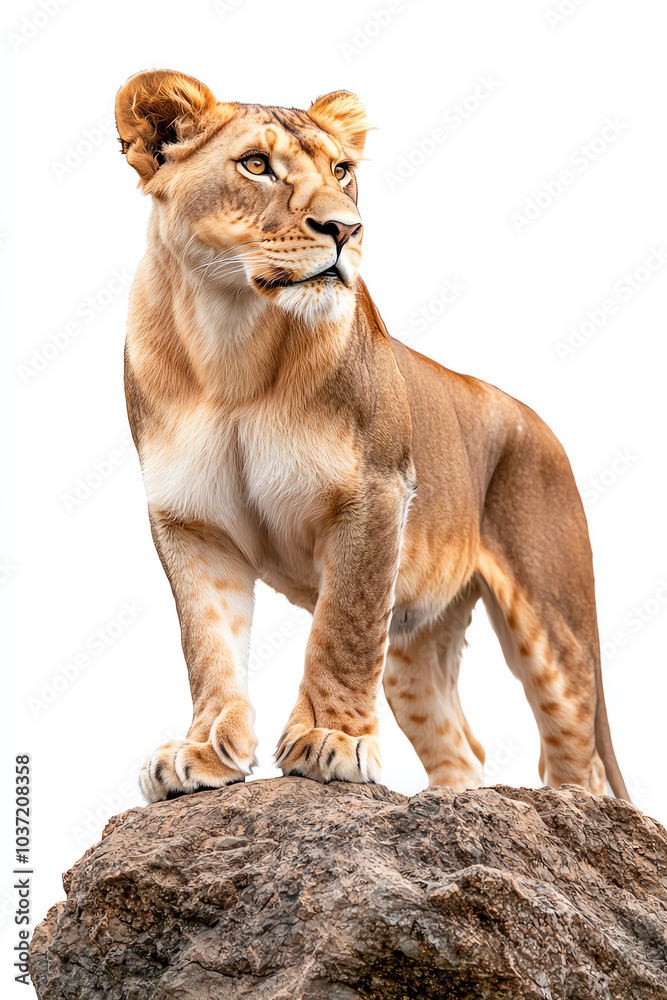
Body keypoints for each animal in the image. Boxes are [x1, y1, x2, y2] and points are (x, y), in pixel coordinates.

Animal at [115, 69, 628, 804]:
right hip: (416, 638)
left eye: (342, 171)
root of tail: (537, 421)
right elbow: (207, 642)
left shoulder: (374, 495)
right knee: (461, 747)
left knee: (576, 756)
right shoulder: (190, 519)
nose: (345, 228)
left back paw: (564, 812)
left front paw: (330, 740)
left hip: (554, 621)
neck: (230, 346)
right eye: (255, 165)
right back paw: (449, 807)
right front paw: (202, 751)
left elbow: (342, 629)